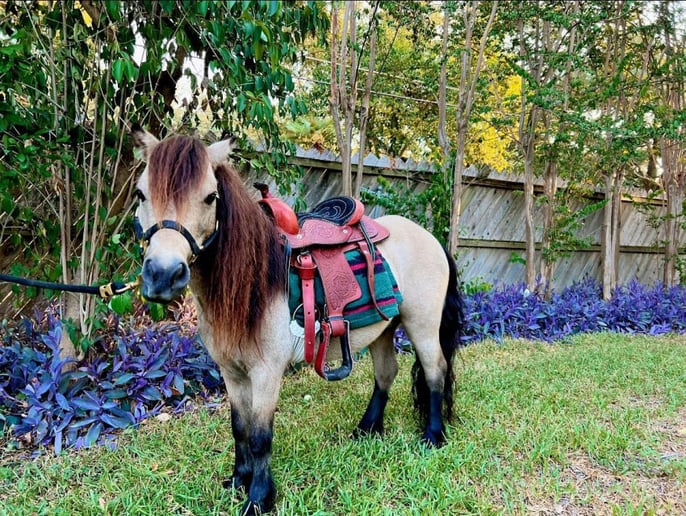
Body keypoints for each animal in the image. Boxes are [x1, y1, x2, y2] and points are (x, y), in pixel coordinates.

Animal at [130, 126, 465, 514]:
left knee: (435, 372)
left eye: (210, 197)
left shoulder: (266, 372)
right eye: (141, 193)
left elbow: (260, 437)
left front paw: (259, 498)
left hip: (422, 326)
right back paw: (367, 429)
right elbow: (239, 427)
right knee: (386, 373)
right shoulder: (232, 372)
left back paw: (433, 436)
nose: (162, 275)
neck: (254, 282)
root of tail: (430, 238)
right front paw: (238, 481)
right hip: (383, 328)